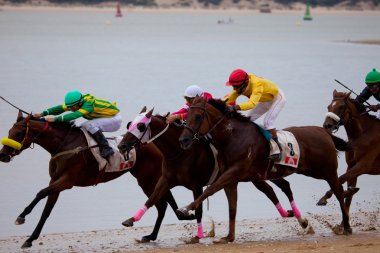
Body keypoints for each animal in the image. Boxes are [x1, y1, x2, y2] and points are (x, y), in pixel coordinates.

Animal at [0, 110, 196, 247]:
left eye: (18, 134)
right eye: (9, 131)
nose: (3, 155)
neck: (64, 145)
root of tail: (154, 143)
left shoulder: (67, 181)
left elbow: (40, 193)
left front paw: (21, 216)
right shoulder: (55, 182)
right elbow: (46, 211)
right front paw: (30, 239)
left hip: (146, 178)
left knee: (161, 204)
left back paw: (159, 230)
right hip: (149, 178)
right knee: (163, 201)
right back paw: (158, 231)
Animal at [118, 106, 312, 243]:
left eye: (141, 125)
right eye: (130, 123)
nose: (121, 145)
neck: (179, 152)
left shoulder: (196, 185)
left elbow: (198, 209)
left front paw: (198, 235)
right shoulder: (166, 179)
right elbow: (152, 199)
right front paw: (131, 220)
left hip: (256, 173)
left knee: (283, 187)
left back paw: (301, 220)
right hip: (254, 176)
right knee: (271, 191)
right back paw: (290, 214)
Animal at [177, 97, 352, 241]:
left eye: (198, 116)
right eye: (186, 116)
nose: (183, 140)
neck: (232, 137)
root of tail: (324, 132)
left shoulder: (234, 171)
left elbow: (210, 189)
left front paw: (185, 209)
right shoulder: (232, 179)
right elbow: (232, 206)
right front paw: (229, 237)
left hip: (326, 171)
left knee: (338, 190)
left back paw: (347, 226)